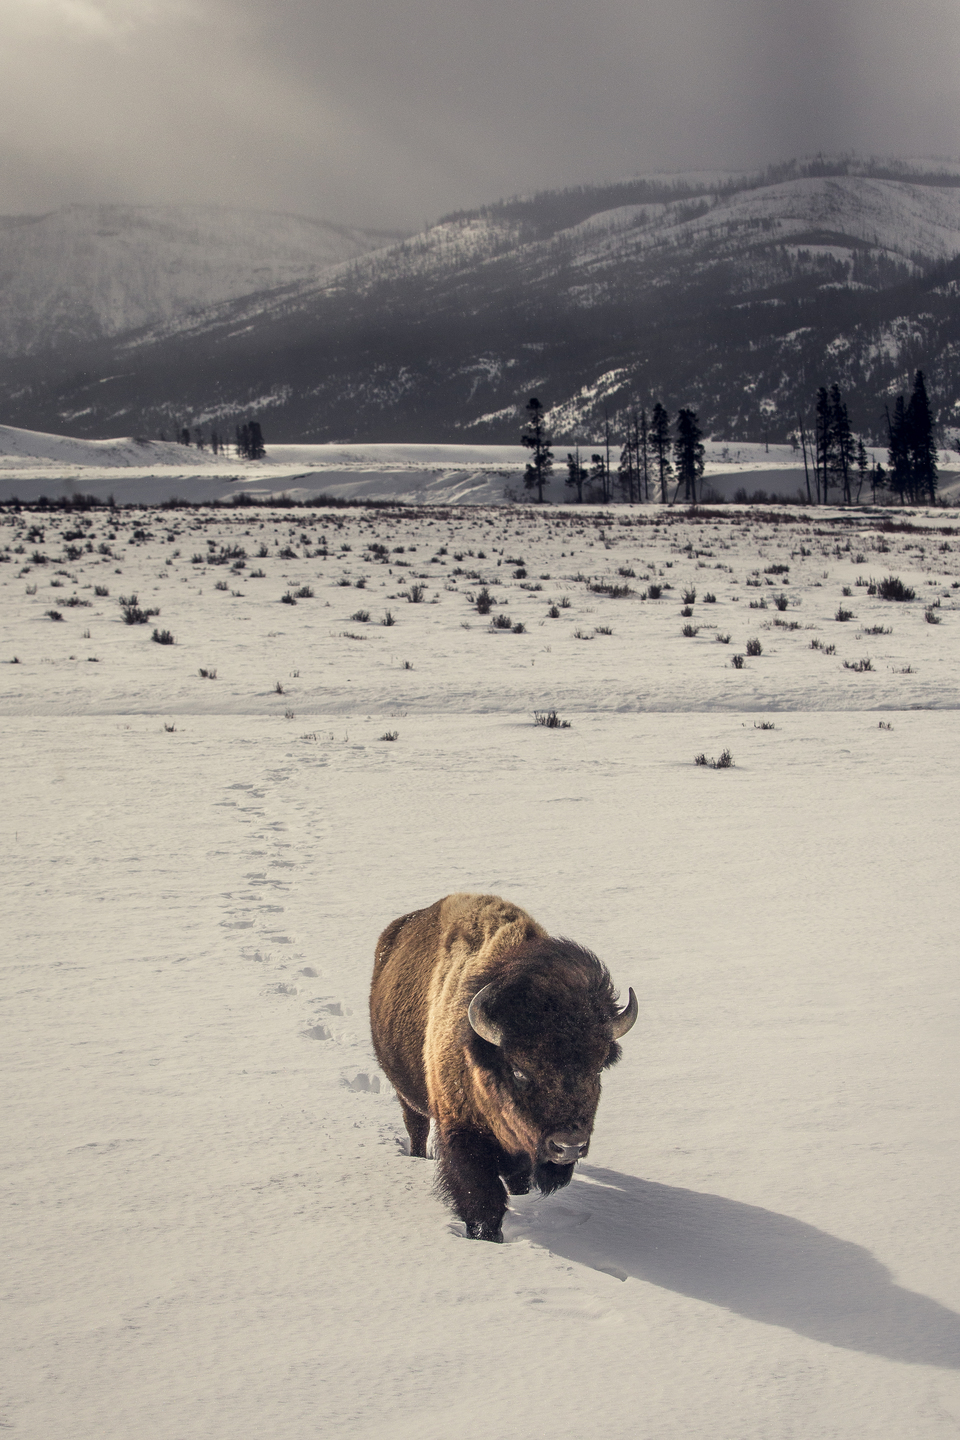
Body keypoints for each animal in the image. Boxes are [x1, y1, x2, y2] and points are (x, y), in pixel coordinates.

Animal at [371, 887, 639, 1238]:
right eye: (519, 1071)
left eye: (596, 1069)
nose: (568, 1146)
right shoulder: (462, 1134)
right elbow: (484, 1200)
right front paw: (487, 1237)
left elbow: (518, 1179)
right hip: (407, 1096)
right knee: (416, 1127)